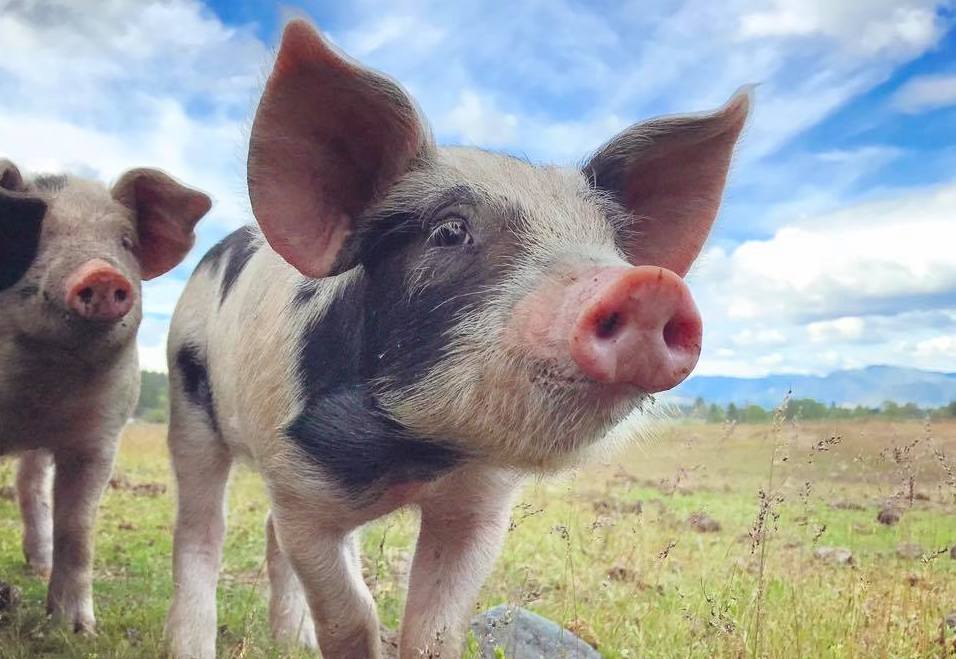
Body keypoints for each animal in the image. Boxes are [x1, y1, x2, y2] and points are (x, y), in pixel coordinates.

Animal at [0, 159, 211, 632]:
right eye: (39, 235)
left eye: (126, 242)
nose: (101, 273)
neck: (40, 391)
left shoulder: (100, 436)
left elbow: (78, 527)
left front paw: (77, 630)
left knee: (30, 483)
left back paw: (38, 565)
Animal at [164, 19, 749, 659]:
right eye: (448, 230)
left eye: (612, 245)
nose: (652, 285)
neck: (415, 454)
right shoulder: (298, 484)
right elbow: (351, 615)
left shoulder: (479, 504)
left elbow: (434, 628)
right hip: (187, 400)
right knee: (201, 530)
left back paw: (291, 642)